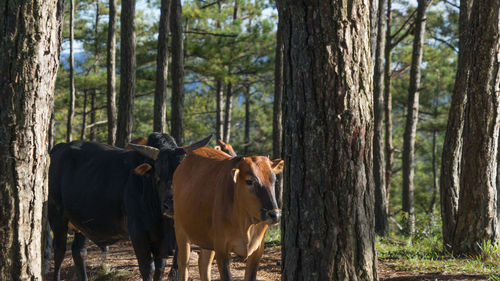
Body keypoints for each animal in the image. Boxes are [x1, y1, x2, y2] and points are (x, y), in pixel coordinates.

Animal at [47, 132, 211, 278]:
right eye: (158, 174)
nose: (171, 204)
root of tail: (61, 147)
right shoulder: (138, 233)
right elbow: (148, 268)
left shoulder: (161, 243)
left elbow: (160, 269)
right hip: (57, 217)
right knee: (59, 252)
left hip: (83, 223)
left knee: (79, 252)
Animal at [173, 147, 284, 280]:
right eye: (249, 181)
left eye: (274, 180)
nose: (275, 215)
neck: (246, 225)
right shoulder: (222, 248)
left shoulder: (257, 250)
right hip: (181, 230)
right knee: (184, 264)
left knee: (203, 264)